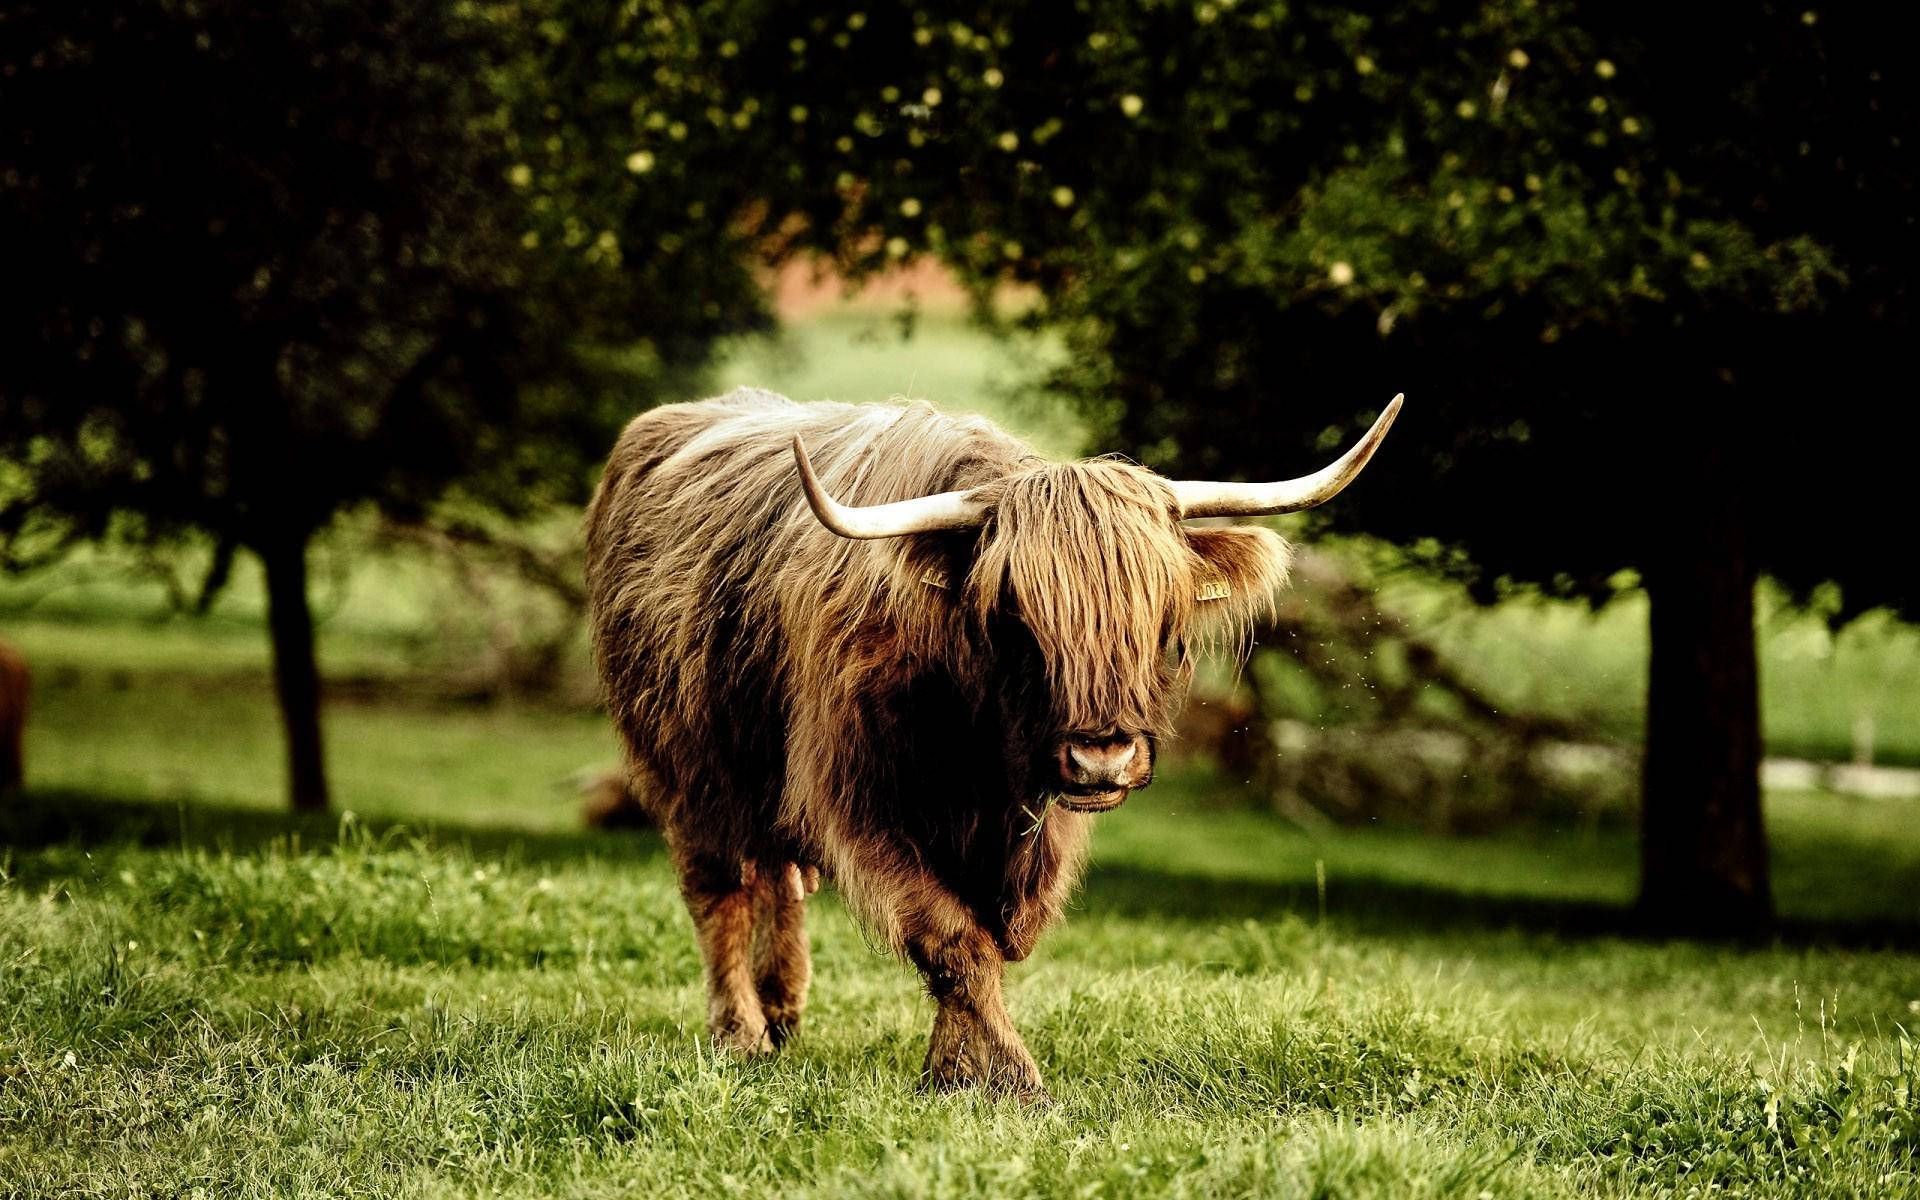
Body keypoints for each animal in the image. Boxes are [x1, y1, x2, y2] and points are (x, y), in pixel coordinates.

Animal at [579, 385, 1397, 1098]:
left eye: (1160, 617)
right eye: (1015, 617)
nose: (1101, 757)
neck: (975, 739)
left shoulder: (1036, 827)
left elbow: (997, 940)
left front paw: (953, 1067)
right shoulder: (858, 800)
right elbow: (950, 937)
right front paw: (1004, 1076)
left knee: (779, 875)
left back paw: (784, 1010)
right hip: (686, 762)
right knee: (719, 887)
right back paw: (740, 1033)